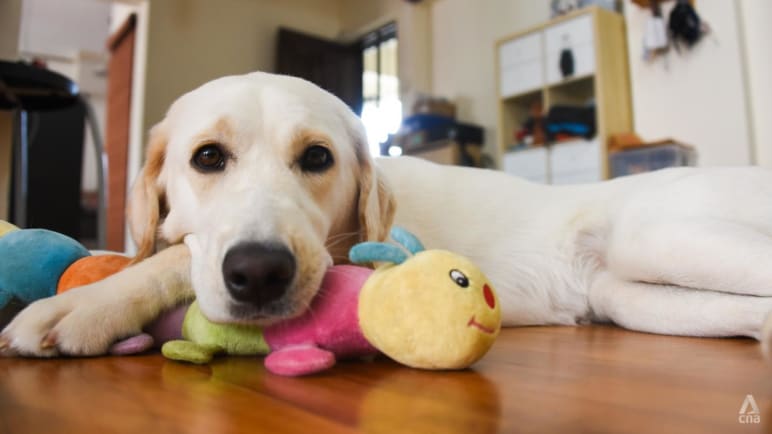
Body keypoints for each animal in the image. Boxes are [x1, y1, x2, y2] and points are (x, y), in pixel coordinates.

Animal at [1, 72, 772, 356]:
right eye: (208, 157)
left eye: (317, 158)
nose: (261, 273)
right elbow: (165, 249)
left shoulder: (349, 256)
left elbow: (168, 260)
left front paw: (84, 304)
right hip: (629, 294)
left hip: (660, 237)